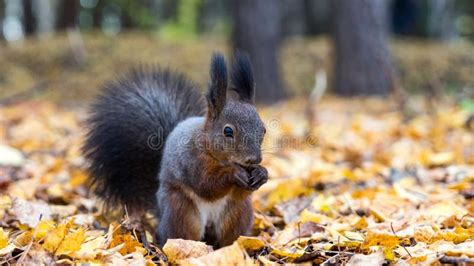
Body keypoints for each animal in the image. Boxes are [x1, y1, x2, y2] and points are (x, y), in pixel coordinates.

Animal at [83, 52, 268, 247]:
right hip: (180, 210)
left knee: (230, 236)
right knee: (175, 235)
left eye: (263, 129)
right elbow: (206, 184)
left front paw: (262, 174)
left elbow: (241, 191)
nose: (254, 159)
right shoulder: (191, 160)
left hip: (238, 212)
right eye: (228, 131)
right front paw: (234, 174)